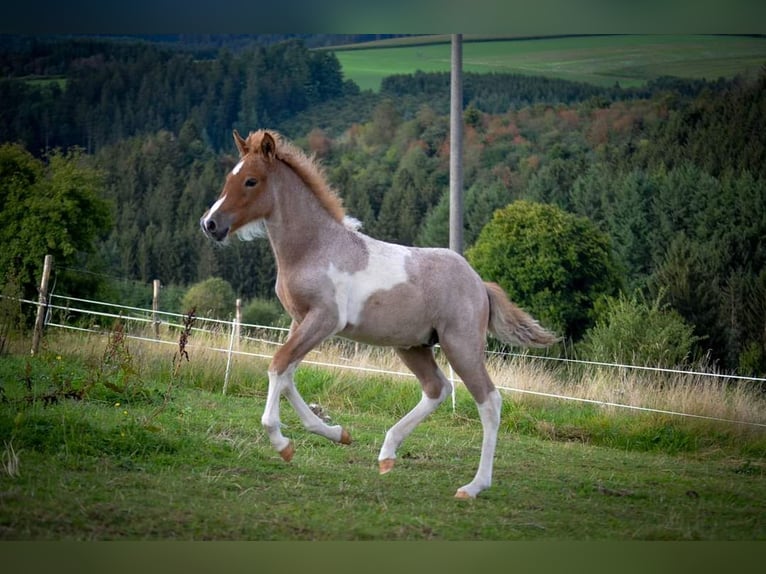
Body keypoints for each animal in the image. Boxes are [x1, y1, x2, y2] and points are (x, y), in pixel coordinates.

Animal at [200, 130, 560, 500]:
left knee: (489, 401)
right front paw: (337, 433)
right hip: (412, 346)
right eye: (228, 178)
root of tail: (479, 283)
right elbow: (287, 375)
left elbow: (278, 366)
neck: (315, 248)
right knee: (437, 388)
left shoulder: (324, 320)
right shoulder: (300, 321)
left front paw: (282, 443)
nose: (210, 224)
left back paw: (473, 486)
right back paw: (387, 454)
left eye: (251, 181)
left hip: (460, 345)